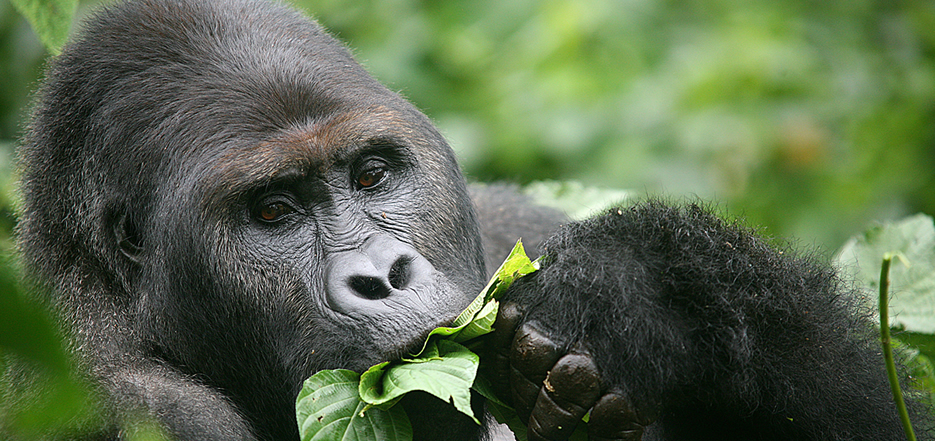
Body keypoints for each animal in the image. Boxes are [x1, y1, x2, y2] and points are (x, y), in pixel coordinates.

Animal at [16, 0, 935, 440]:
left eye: (371, 173)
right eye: (272, 212)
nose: (382, 275)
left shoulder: (507, 223)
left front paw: (647, 288)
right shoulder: (128, 402)